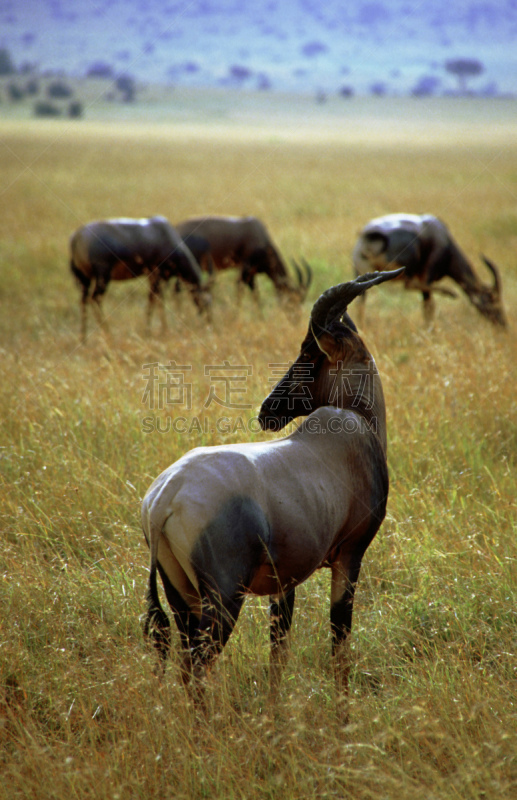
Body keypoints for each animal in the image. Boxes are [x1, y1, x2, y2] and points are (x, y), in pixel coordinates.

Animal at [69, 217, 211, 342]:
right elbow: (155, 300)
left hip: (85, 280)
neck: (163, 233)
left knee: (83, 301)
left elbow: (155, 300)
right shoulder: (157, 275)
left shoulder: (152, 276)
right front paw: (157, 331)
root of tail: (77, 236)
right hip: (103, 277)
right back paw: (109, 335)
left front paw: (154, 331)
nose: (210, 326)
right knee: (95, 299)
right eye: (207, 302)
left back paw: (83, 339)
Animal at [141, 268, 404, 708]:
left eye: (309, 354)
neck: (351, 425)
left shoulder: (285, 582)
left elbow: (278, 651)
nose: (267, 411)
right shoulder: (350, 556)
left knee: (185, 663)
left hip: (181, 595)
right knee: (197, 664)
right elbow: (339, 640)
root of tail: (165, 498)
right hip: (223, 599)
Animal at [350, 212, 504, 328]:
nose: (503, 325)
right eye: (493, 299)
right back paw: (450, 293)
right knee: (407, 284)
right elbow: (429, 306)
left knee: (360, 303)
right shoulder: (427, 273)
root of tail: (369, 234)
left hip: (361, 271)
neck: (442, 235)